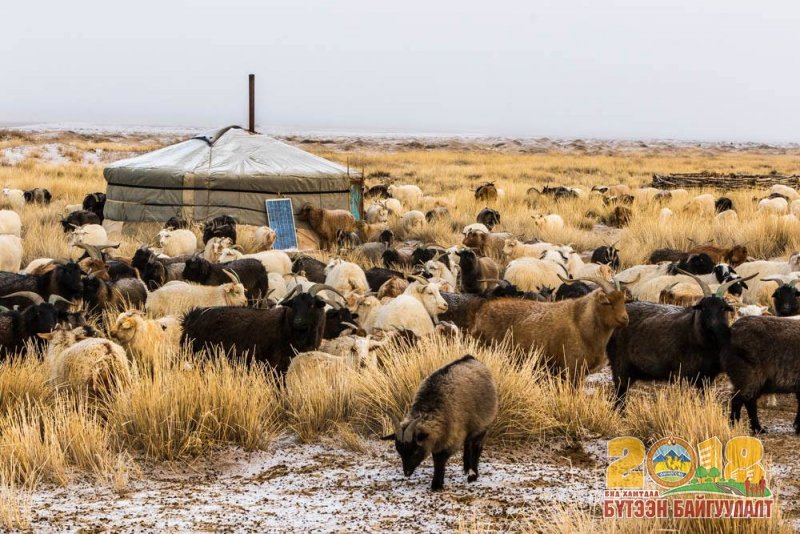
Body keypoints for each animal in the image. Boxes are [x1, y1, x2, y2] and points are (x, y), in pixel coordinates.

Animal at [468, 276, 632, 382]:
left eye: (623, 301)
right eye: (607, 302)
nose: (625, 319)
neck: (580, 322)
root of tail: (482, 312)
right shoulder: (572, 370)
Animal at [608, 276, 752, 410]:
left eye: (723, 308)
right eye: (703, 307)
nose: (713, 326)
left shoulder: (707, 378)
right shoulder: (682, 375)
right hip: (620, 366)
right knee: (619, 396)